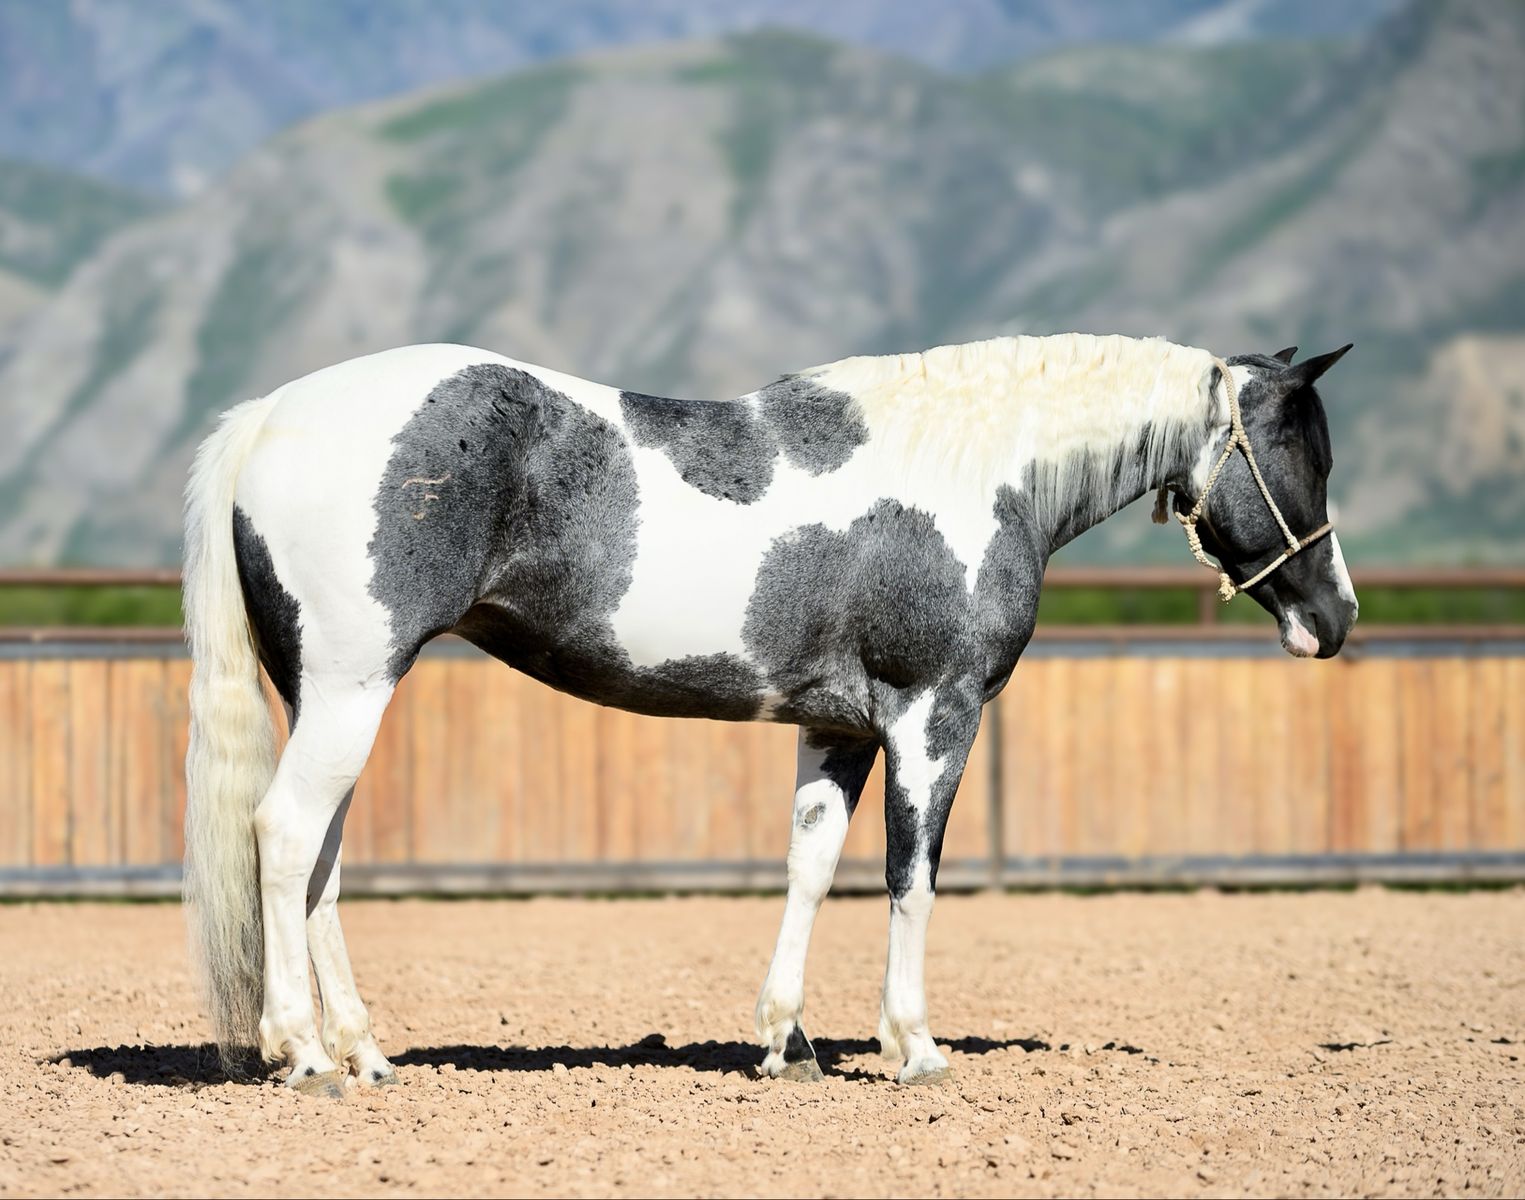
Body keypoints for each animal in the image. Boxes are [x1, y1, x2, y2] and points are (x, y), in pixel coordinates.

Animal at [181, 332, 1358, 1096]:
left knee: (319, 860)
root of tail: (271, 415)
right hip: (350, 690)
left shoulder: (836, 729)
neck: (973, 471)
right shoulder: (934, 717)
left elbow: (810, 868)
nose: (1335, 618)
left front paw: (786, 1045)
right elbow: (910, 877)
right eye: (1299, 453)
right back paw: (306, 1057)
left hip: (336, 694)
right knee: (285, 835)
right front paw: (913, 1048)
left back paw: (365, 1053)